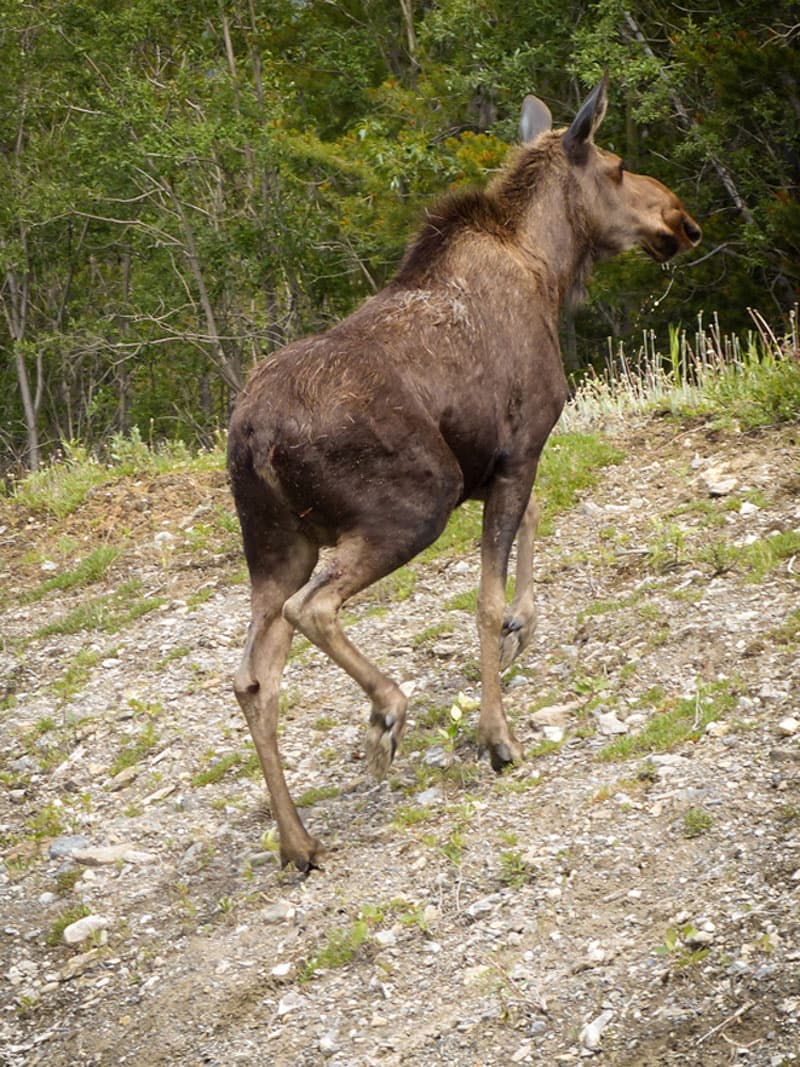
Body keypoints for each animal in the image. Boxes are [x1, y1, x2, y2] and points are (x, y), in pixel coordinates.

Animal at [227, 78, 699, 870]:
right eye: (619, 165)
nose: (681, 219)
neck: (549, 271)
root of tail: (253, 439)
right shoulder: (520, 447)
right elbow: (484, 595)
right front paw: (498, 734)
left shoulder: (497, 463)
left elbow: (529, 534)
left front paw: (523, 624)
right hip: (411, 505)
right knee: (312, 610)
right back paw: (386, 713)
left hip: (275, 547)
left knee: (254, 676)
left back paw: (298, 842)